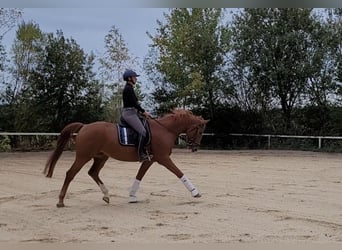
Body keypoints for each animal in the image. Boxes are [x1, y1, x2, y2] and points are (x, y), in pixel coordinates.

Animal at [42, 109, 208, 207]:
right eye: (200, 131)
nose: (195, 148)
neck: (164, 129)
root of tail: (84, 127)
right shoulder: (163, 158)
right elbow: (179, 172)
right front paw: (195, 192)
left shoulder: (150, 160)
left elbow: (139, 176)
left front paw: (132, 196)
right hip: (83, 156)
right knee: (70, 174)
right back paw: (60, 201)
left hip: (101, 157)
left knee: (93, 172)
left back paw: (106, 195)